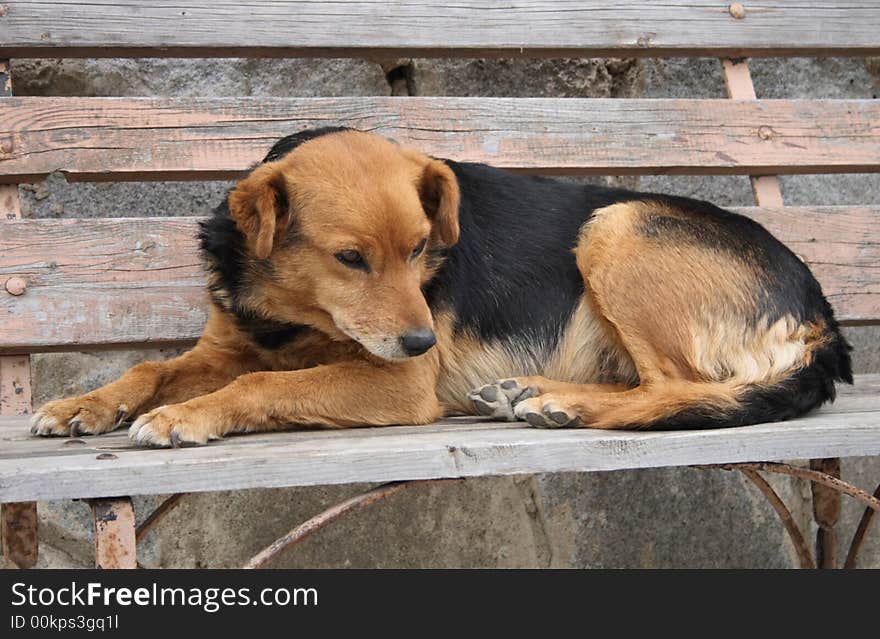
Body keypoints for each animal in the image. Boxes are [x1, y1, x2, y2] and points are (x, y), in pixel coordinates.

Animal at [31, 127, 848, 448]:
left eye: (422, 248)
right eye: (350, 258)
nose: (424, 340)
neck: (291, 313)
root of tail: (822, 316)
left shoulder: (397, 383)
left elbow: (261, 385)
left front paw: (186, 415)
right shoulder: (227, 343)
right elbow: (150, 366)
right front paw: (84, 403)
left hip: (618, 225)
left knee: (675, 386)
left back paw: (559, 403)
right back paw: (531, 392)